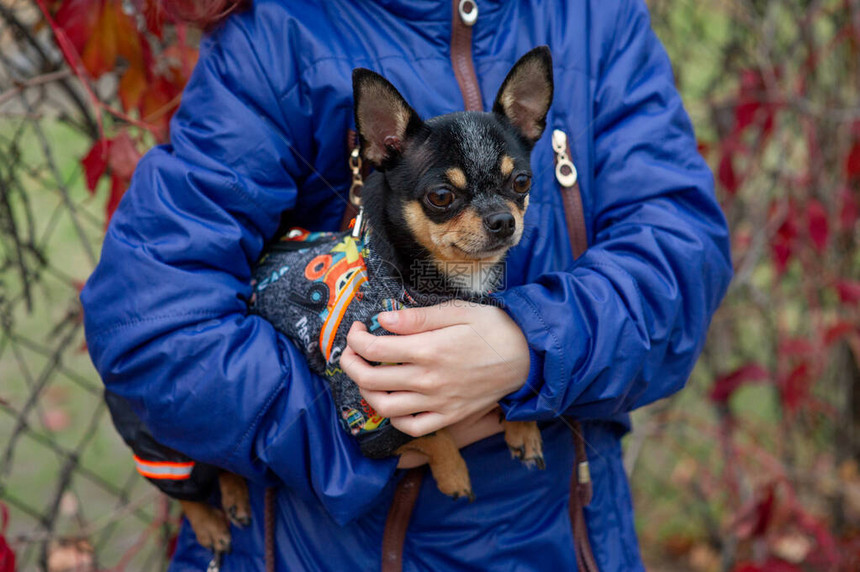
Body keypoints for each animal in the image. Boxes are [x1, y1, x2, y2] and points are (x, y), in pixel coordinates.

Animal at [111, 48, 556, 560]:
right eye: (441, 196)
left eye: (521, 181)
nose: (504, 220)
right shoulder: (368, 411)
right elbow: (429, 431)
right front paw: (453, 473)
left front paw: (522, 428)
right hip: (165, 438)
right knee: (189, 479)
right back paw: (209, 522)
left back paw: (236, 495)